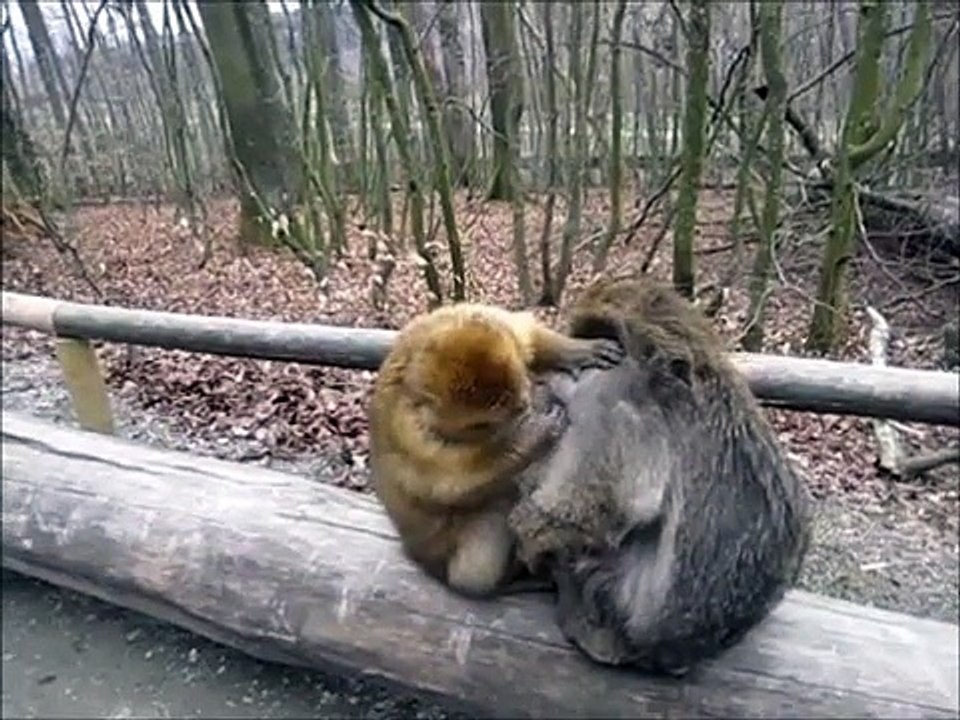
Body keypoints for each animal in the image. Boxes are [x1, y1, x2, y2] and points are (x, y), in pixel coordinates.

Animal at [368, 302, 626, 598]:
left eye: (516, 388)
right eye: (482, 423)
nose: (524, 407)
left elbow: (524, 332)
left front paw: (577, 351)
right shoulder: (411, 434)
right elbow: (456, 482)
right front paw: (537, 434)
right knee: (475, 565)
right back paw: (507, 581)